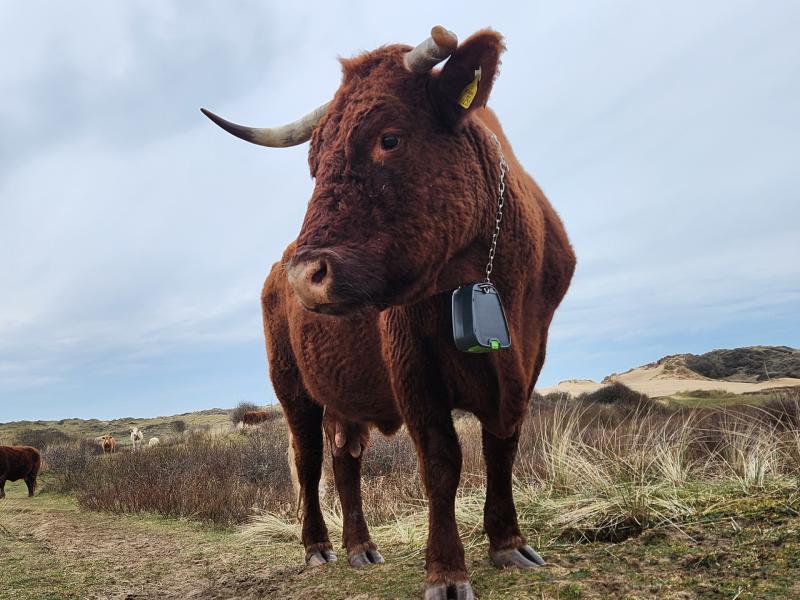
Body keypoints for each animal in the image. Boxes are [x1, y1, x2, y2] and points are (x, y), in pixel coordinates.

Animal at [202, 26, 575, 599]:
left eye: (389, 138)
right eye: (314, 162)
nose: (304, 275)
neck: (496, 279)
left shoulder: (528, 363)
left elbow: (503, 449)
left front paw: (509, 544)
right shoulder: (413, 369)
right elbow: (442, 461)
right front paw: (447, 571)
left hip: (344, 391)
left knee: (345, 460)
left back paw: (361, 545)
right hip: (292, 388)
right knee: (309, 462)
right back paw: (318, 547)